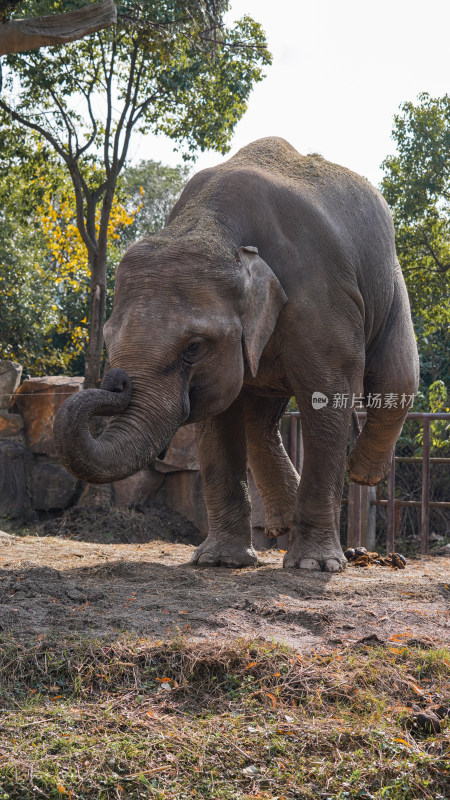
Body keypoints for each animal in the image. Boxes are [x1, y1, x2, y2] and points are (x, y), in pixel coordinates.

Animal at [54, 139, 420, 576]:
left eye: (193, 347)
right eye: (108, 338)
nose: (117, 381)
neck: (214, 223)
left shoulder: (321, 298)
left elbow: (327, 399)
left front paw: (313, 566)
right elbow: (217, 420)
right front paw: (219, 561)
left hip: (388, 277)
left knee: (397, 376)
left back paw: (361, 472)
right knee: (261, 417)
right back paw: (282, 523)